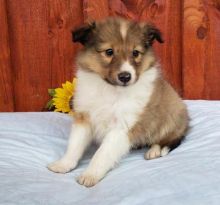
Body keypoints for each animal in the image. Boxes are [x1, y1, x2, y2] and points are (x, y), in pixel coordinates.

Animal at [48, 17, 189, 187]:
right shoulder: (84, 117)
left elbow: (101, 154)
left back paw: (155, 150)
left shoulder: (121, 127)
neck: (110, 89)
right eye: (109, 52)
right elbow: (74, 145)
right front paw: (63, 165)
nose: (125, 76)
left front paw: (90, 175)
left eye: (135, 53)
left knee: (174, 138)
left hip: (172, 116)